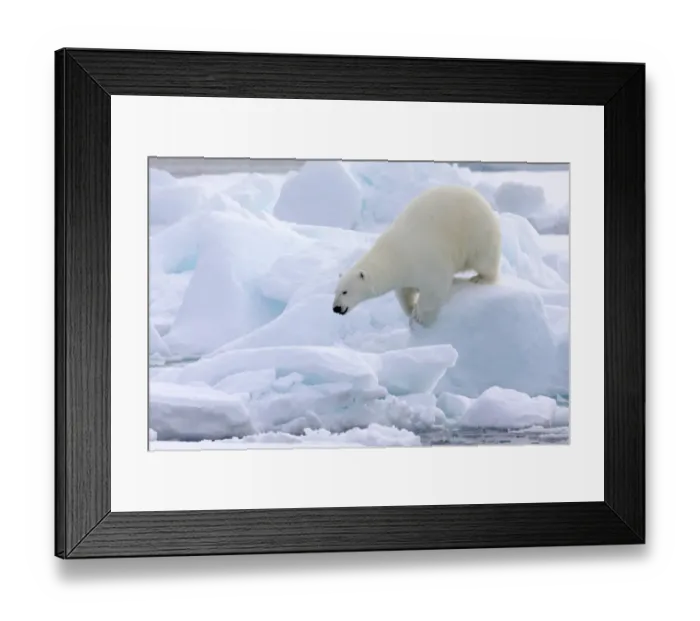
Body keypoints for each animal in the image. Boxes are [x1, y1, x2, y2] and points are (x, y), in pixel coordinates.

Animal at [333, 185, 502, 327]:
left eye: (345, 291)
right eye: (336, 290)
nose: (336, 308)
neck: (394, 255)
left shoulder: (426, 260)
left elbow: (434, 287)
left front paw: (420, 315)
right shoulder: (405, 272)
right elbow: (404, 292)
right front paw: (411, 309)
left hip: (478, 234)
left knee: (484, 260)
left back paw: (480, 278)